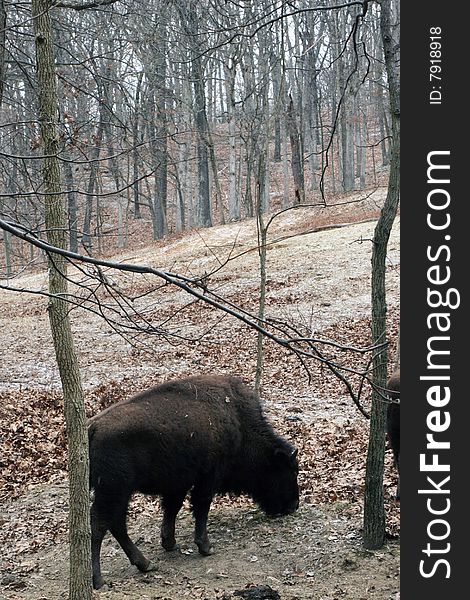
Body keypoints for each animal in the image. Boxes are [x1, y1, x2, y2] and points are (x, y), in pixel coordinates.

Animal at [88, 378, 300, 588]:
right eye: (290, 471)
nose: (294, 506)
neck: (240, 424)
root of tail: (93, 427)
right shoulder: (208, 477)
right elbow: (201, 507)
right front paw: (206, 547)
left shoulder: (178, 484)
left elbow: (172, 509)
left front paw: (170, 543)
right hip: (115, 490)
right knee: (100, 525)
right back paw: (99, 580)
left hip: (120, 492)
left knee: (116, 524)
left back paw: (145, 564)